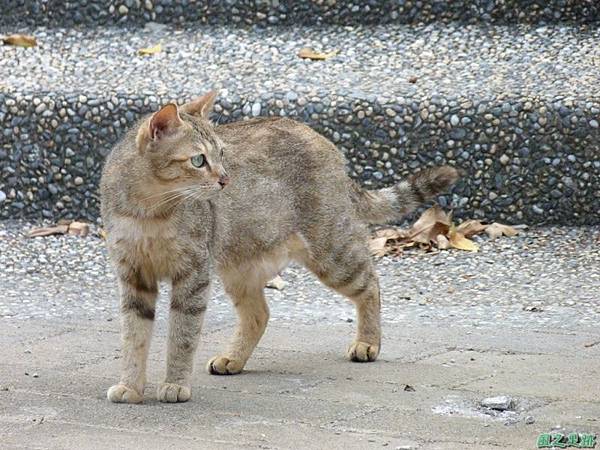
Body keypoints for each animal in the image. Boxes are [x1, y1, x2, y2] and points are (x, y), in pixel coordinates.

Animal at [101, 91, 458, 404]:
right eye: (199, 160)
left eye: (222, 155)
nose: (225, 179)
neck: (149, 212)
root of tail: (321, 138)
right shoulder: (133, 276)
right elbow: (134, 337)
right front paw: (130, 386)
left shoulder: (193, 275)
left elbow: (181, 337)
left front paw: (175, 384)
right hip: (239, 266)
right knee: (259, 314)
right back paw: (232, 358)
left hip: (331, 251)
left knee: (371, 283)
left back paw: (367, 343)